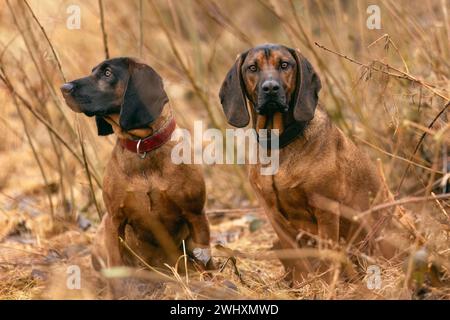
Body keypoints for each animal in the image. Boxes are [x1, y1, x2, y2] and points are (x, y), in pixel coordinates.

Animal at [60, 57, 214, 298]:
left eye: (107, 73)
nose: (63, 88)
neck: (143, 147)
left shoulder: (196, 214)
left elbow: (205, 262)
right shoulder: (115, 221)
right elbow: (116, 269)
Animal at [220, 43, 392, 284]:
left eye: (284, 64)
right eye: (252, 67)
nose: (270, 88)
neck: (279, 144)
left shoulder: (326, 210)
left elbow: (329, 254)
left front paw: (329, 286)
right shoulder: (274, 216)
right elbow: (298, 257)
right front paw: (304, 285)